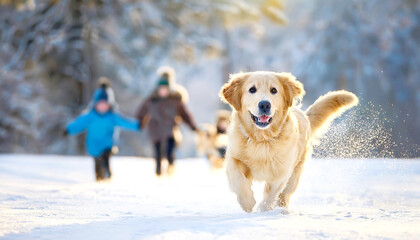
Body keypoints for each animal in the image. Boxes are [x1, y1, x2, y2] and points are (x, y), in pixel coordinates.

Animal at [218, 71, 360, 212]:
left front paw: (263, 210)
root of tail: (304, 115)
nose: (264, 104)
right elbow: (238, 180)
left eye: (274, 90)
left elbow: (271, 192)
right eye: (252, 90)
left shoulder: (283, 170)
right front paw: (247, 204)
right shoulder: (233, 157)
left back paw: (283, 211)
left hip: (295, 174)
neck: (263, 139)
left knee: (284, 195)